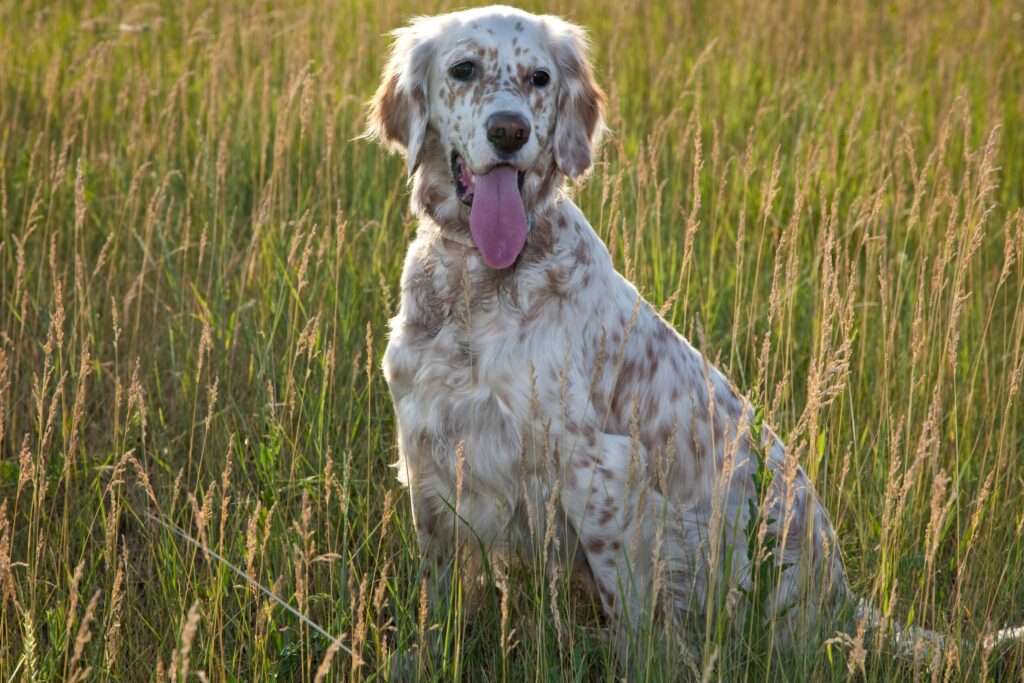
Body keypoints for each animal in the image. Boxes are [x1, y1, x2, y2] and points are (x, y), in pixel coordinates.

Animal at [364, 2, 1019, 659]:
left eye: (540, 79)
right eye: (463, 69)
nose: (509, 132)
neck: (479, 283)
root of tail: (843, 597)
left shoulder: (600, 471)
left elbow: (632, 622)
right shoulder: (428, 452)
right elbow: (438, 593)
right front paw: (427, 653)